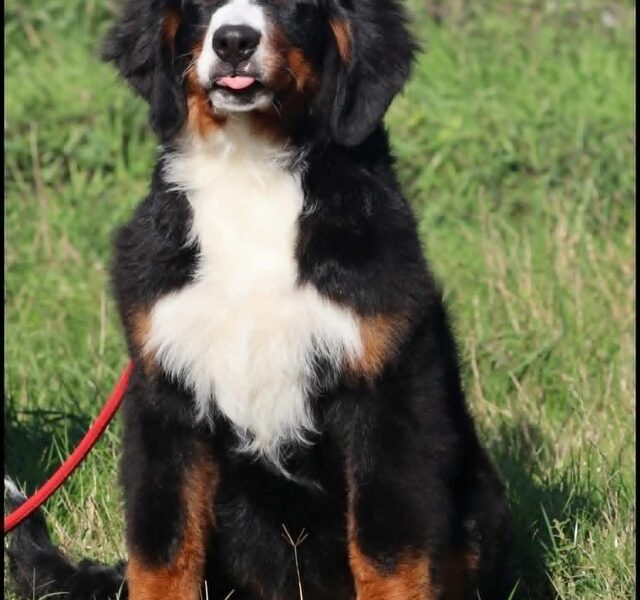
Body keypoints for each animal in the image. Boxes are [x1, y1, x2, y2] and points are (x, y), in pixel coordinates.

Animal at [6, 0, 516, 596]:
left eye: (295, 6)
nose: (233, 42)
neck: (249, 173)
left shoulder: (385, 397)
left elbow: (387, 553)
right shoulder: (165, 398)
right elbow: (163, 552)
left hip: (479, 503)